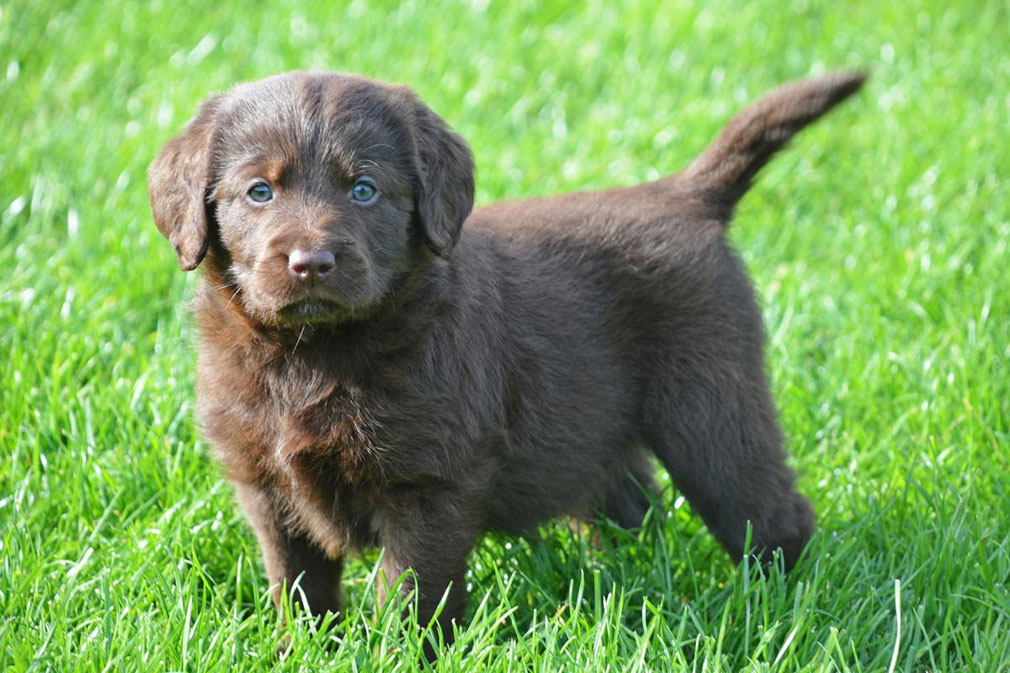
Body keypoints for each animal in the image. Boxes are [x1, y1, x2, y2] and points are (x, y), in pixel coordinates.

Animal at [146, 69, 864, 650]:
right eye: (259, 192)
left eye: (365, 190)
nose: (311, 263)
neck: (315, 355)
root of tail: (684, 195)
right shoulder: (266, 485)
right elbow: (298, 587)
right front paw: (305, 651)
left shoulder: (429, 483)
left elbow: (412, 592)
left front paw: (406, 655)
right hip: (596, 421)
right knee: (633, 500)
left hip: (711, 406)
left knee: (767, 512)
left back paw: (785, 606)